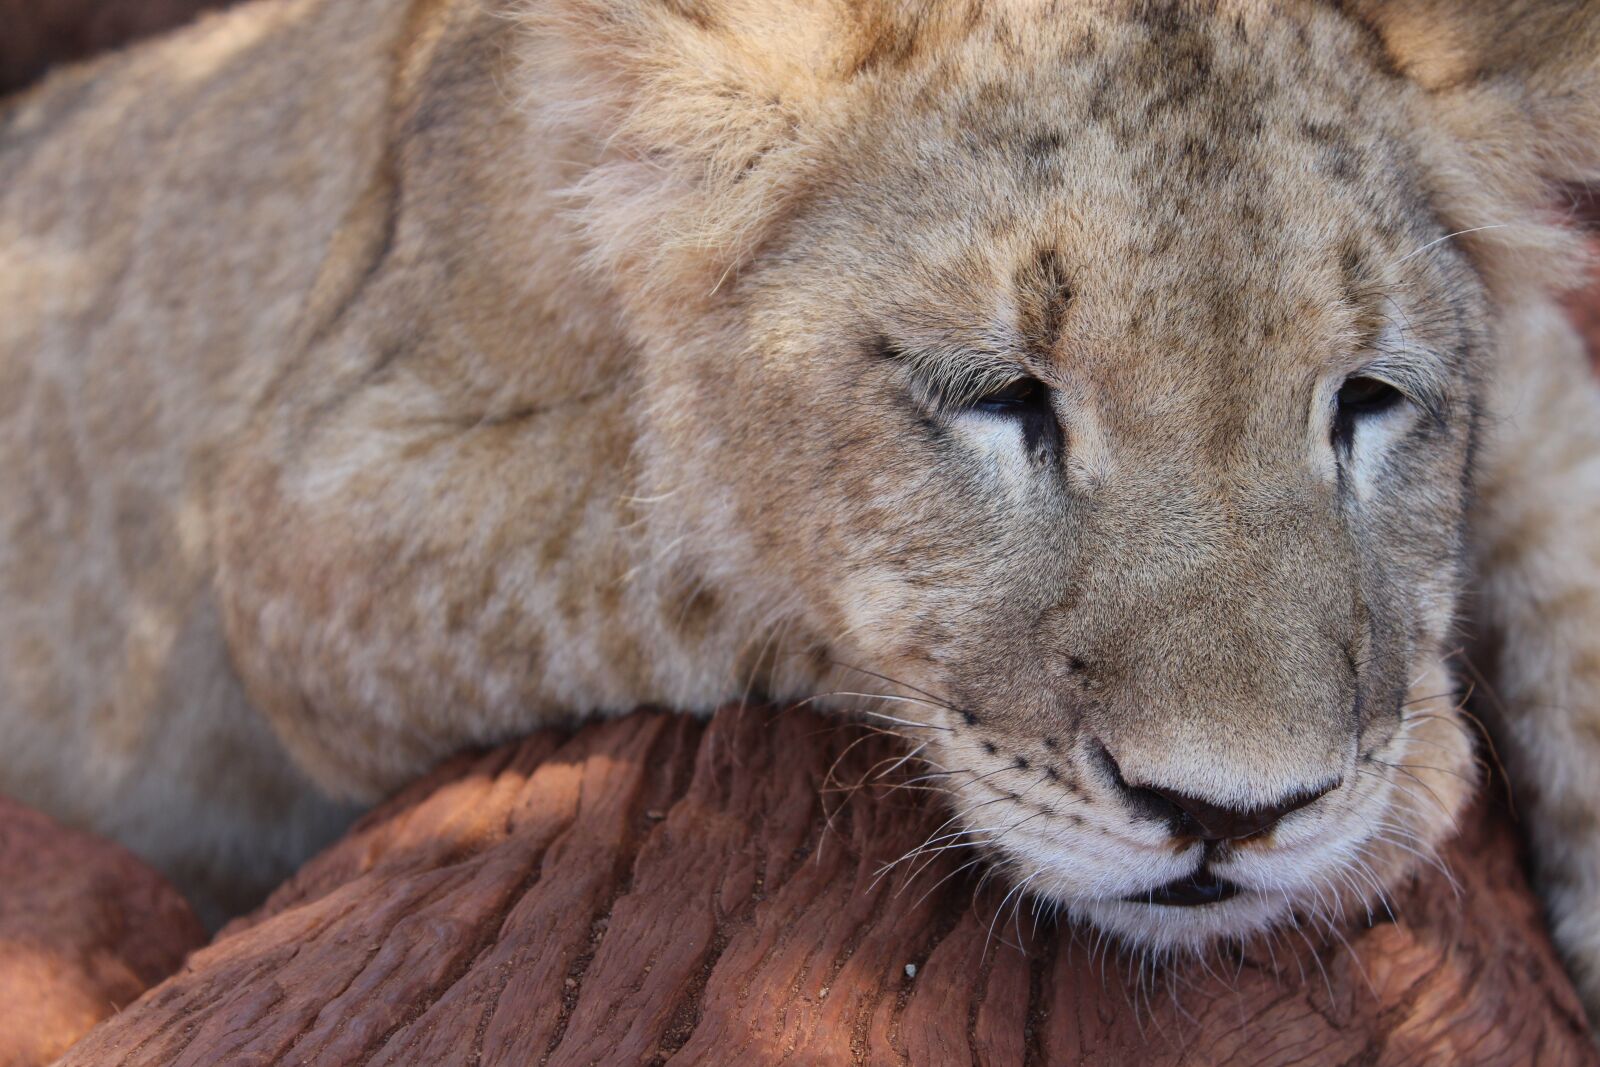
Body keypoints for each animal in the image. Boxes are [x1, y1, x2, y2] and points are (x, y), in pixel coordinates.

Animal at [4, 0, 1600, 1021]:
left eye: (1366, 399)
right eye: (1000, 395)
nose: (1233, 815)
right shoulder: (308, 511)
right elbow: (695, 512)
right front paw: (1418, 772)